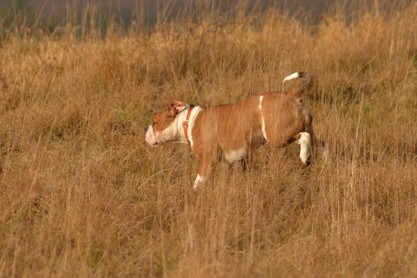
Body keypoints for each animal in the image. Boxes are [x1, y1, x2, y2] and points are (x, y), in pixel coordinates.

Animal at [145, 71, 326, 189]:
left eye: (155, 122)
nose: (146, 129)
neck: (188, 121)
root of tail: (291, 95)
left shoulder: (208, 159)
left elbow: (198, 181)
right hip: (306, 129)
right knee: (323, 145)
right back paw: (327, 165)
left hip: (277, 135)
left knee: (303, 137)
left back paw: (304, 157)